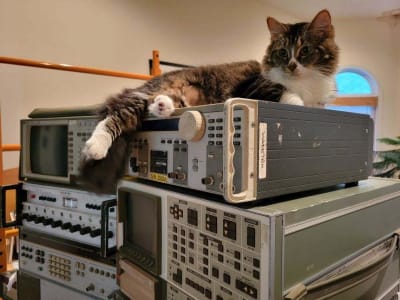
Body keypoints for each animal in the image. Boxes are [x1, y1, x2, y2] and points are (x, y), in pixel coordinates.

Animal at [79, 8, 340, 192]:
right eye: (283, 52)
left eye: (305, 50)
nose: (291, 65)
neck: (305, 82)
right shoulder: (257, 87)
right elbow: (288, 94)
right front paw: (298, 104)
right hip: (140, 98)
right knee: (114, 117)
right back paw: (95, 147)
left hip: (173, 98)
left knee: (155, 107)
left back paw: (162, 107)